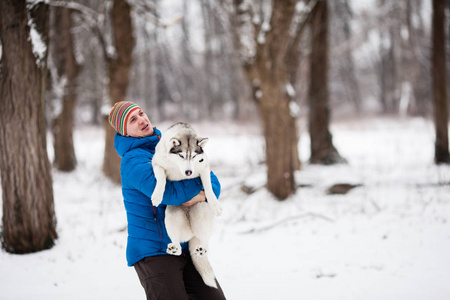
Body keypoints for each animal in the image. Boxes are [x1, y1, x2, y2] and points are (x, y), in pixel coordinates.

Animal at [151, 122, 221, 288]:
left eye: (194, 156)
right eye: (181, 155)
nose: (189, 172)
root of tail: (192, 234)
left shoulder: (204, 167)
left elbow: (208, 185)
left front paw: (215, 204)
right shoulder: (157, 164)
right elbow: (161, 178)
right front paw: (157, 195)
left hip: (200, 209)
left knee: (206, 241)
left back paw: (202, 248)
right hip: (171, 215)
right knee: (177, 244)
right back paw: (174, 248)